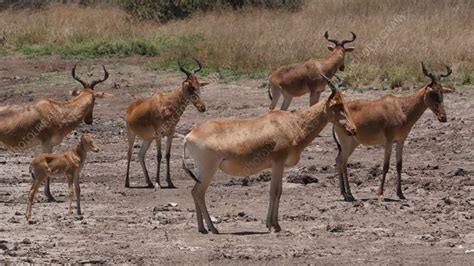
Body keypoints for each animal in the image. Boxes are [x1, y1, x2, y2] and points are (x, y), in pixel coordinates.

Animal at [0, 64, 110, 202]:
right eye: (94, 98)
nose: (89, 120)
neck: (55, 110)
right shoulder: (46, 144)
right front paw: (50, 196)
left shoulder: (51, 145)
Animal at [125, 58, 208, 188]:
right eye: (190, 87)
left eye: (199, 85)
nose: (202, 107)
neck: (166, 104)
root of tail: (130, 107)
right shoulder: (159, 134)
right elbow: (159, 156)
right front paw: (158, 183)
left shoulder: (170, 133)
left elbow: (168, 155)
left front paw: (170, 182)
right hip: (131, 133)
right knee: (129, 153)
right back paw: (127, 182)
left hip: (148, 138)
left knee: (140, 154)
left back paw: (149, 182)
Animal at [183, 74, 358, 233]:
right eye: (337, 105)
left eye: (344, 103)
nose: (353, 129)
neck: (291, 123)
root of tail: (189, 135)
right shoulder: (277, 163)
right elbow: (274, 191)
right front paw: (273, 225)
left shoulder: (279, 166)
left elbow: (278, 192)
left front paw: (273, 224)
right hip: (209, 169)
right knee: (199, 192)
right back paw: (213, 228)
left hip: (201, 169)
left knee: (194, 192)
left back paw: (202, 228)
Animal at [334, 62, 452, 202]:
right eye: (432, 92)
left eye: (442, 91)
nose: (443, 117)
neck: (400, 107)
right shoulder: (389, 140)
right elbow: (385, 165)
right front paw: (380, 193)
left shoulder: (400, 140)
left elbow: (399, 165)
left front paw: (401, 194)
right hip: (346, 141)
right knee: (342, 162)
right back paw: (349, 195)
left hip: (352, 143)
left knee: (340, 160)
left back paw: (344, 193)